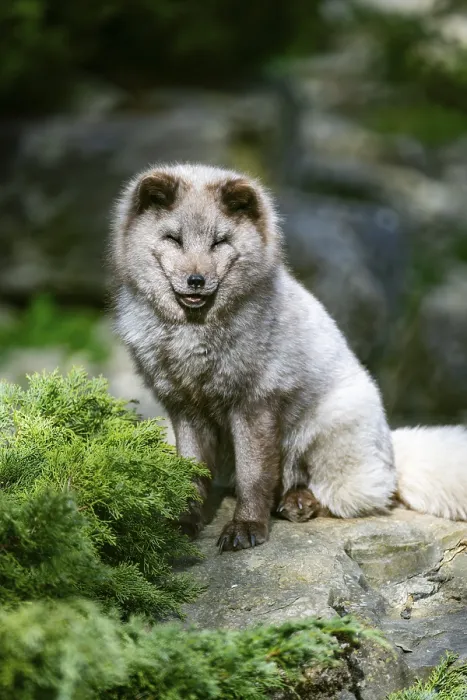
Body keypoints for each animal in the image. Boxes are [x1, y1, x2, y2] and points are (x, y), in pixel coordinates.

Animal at [110, 163, 467, 552]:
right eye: (174, 239)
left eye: (219, 242)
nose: (196, 280)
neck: (195, 335)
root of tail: (391, 448)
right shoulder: (184, 408)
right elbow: (191, 474)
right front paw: (184, 522)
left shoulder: (256, 403)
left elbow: (254, 476)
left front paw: (246, 526)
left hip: (328, 431)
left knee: (358, 497)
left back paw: (299, 503)